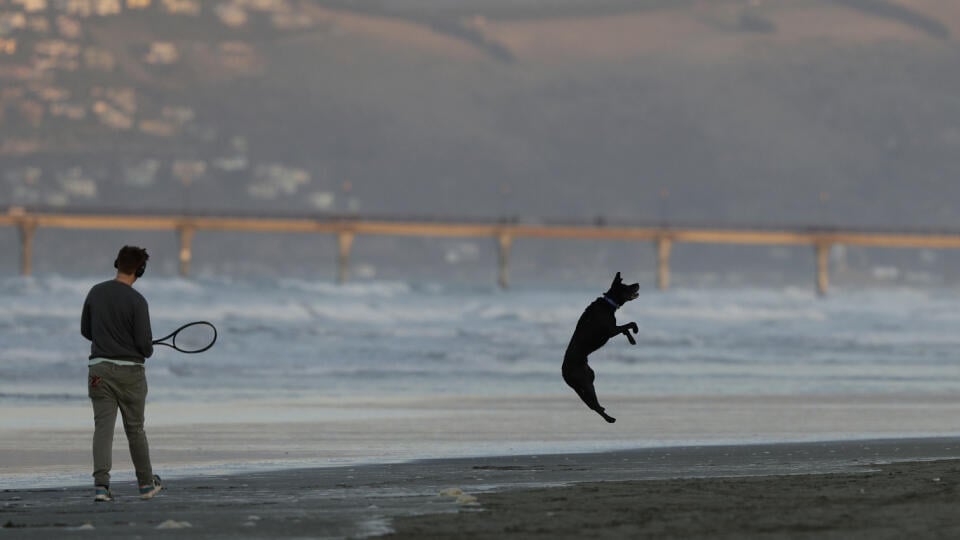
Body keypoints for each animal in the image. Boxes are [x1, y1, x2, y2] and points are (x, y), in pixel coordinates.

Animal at [564, 272, 636, 424]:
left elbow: (625, 330)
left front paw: (632, 340)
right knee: (593, 405)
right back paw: (610, 419)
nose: (637, 284)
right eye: (626, 286)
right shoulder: (611, 330)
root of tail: (563, 373)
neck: (608, 304)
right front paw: (635, 331)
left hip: (588, 378)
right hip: (586, 383)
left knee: (592, 404)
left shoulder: (614, 329)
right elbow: (630, 324)